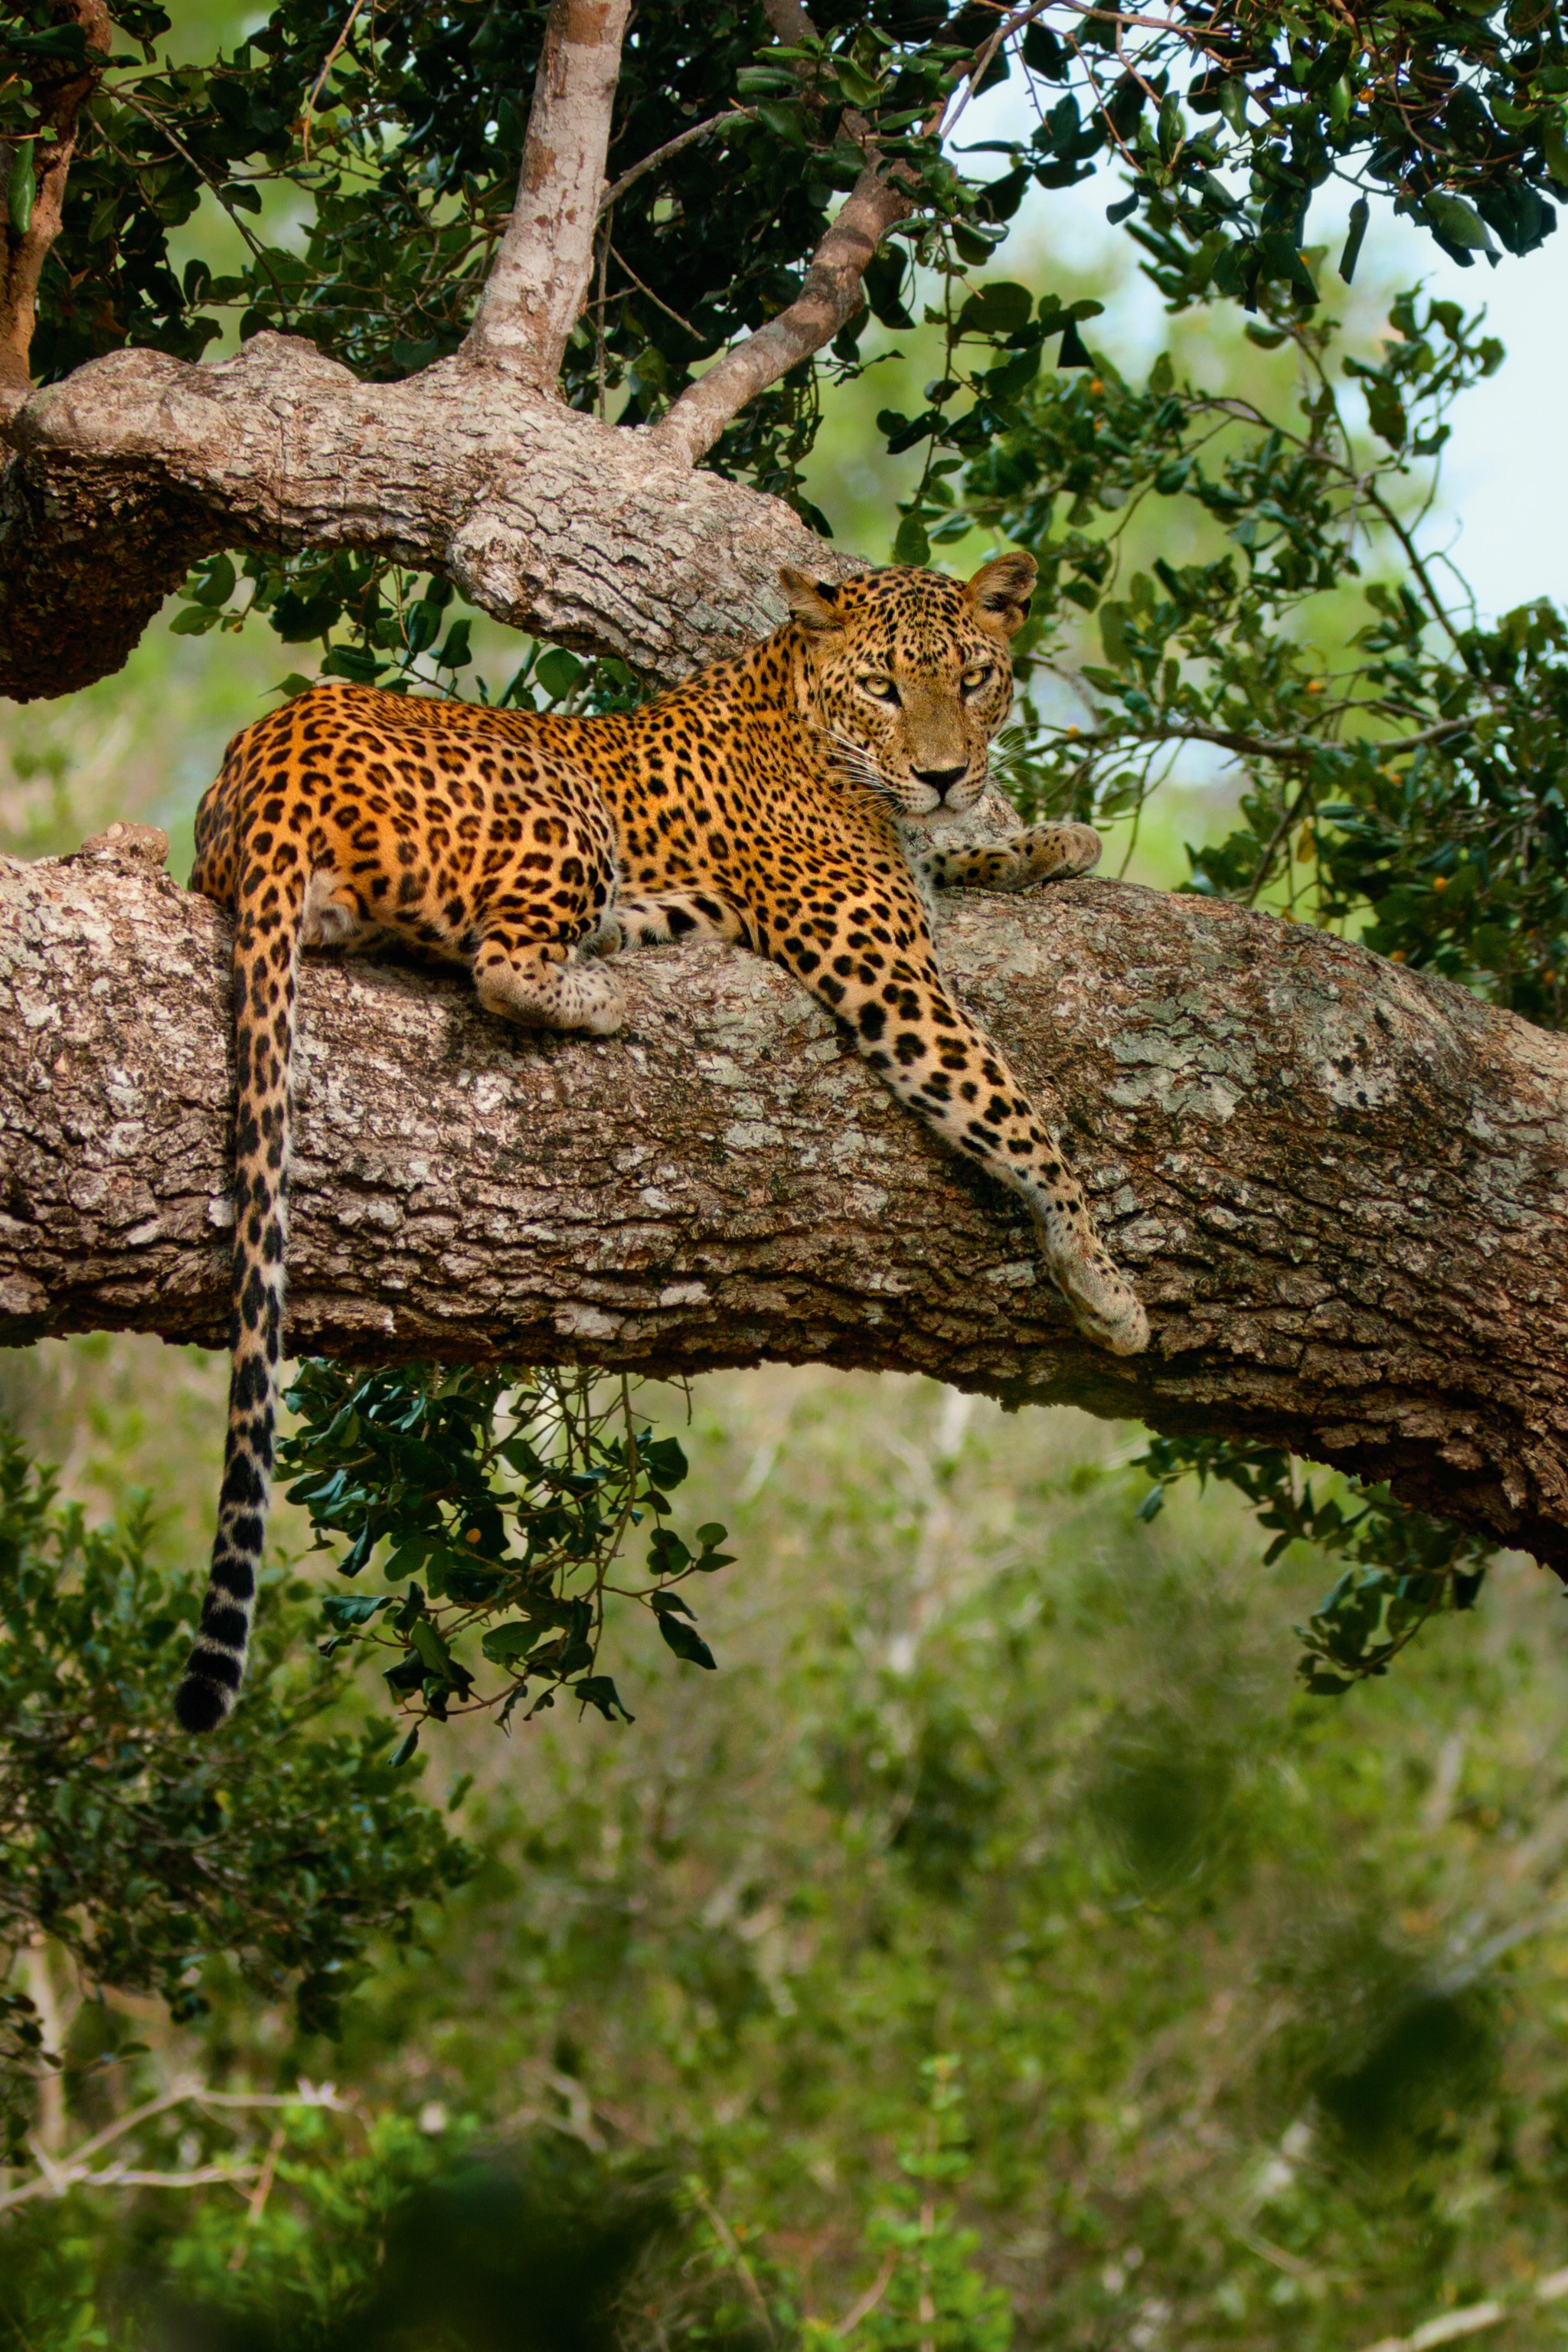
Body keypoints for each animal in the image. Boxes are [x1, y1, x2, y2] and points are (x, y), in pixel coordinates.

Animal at [175, 551, 1148, 1734]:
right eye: (882, 688)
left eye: (973, 678)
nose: (946, 773)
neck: (799, 702)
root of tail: (272, 758)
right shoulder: (886, 971)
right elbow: (1016, 1114)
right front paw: (1102, 1282)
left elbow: (965, 858)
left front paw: (1050, 837)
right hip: (565, 809)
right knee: (500, 963)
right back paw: (605, 990)